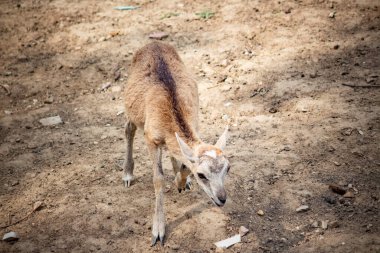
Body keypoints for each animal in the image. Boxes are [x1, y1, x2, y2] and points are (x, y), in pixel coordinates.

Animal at [122, 41, 229, 245]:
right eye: (202, 175)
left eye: (228, 168)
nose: (222, 199)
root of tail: (153, 43)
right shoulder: (150, 137)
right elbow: (158, 178)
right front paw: (158, 232)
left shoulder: (196, 125)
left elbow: (185, 163)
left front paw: (181, 182)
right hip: (131, 111)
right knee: (128, 128)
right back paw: (127, 175)